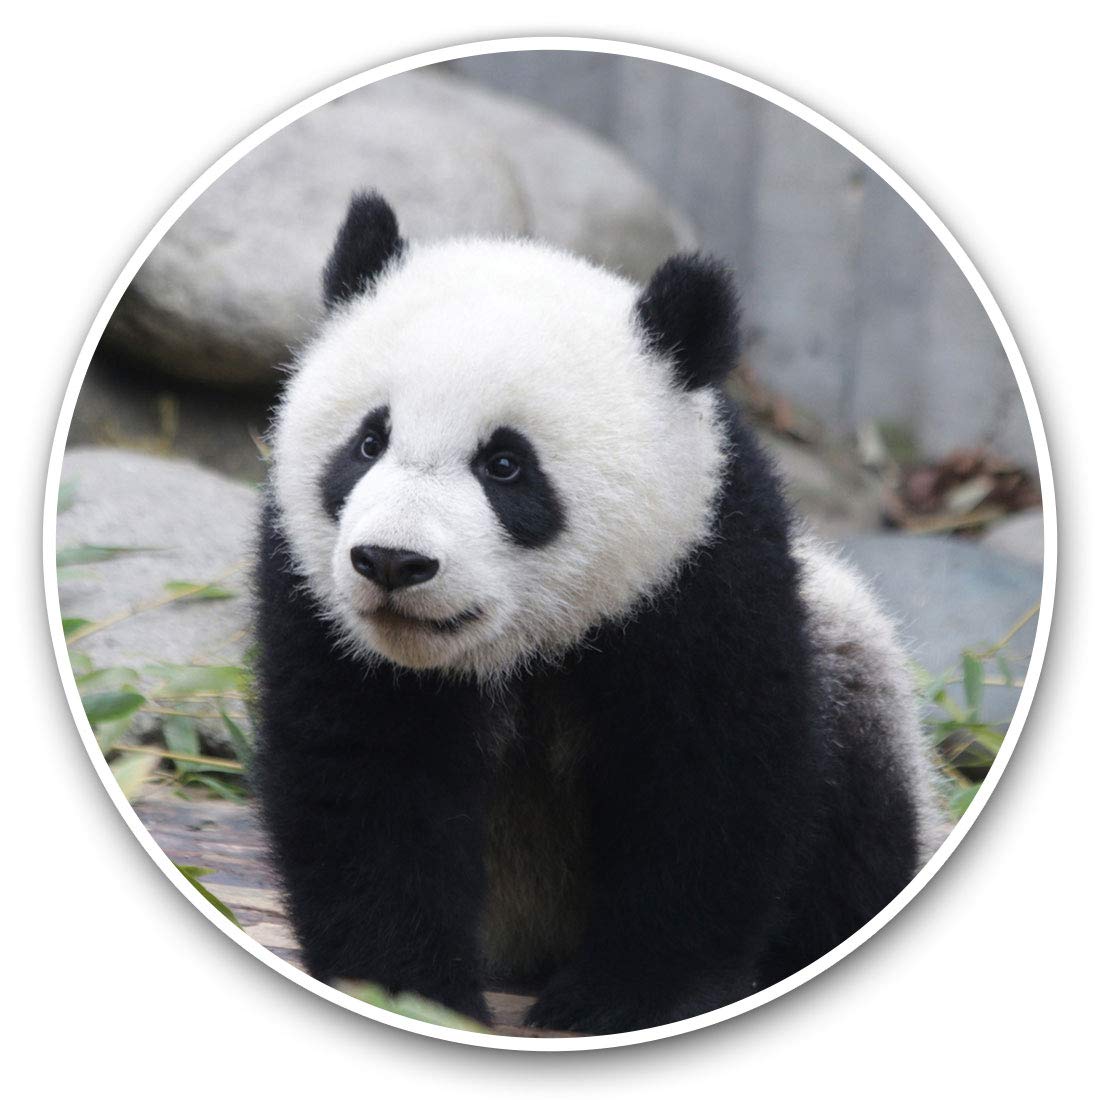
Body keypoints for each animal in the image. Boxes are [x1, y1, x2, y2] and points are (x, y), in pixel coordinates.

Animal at [252, 191, 947, 1035]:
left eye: (506, 465)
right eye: (367, 441)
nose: (392, 562)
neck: (525, 643)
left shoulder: (701, 571)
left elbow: (704, 781)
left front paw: (624, 1001)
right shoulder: (319, 603)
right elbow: (370, 783)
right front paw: (406, 991)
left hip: (850, 664)